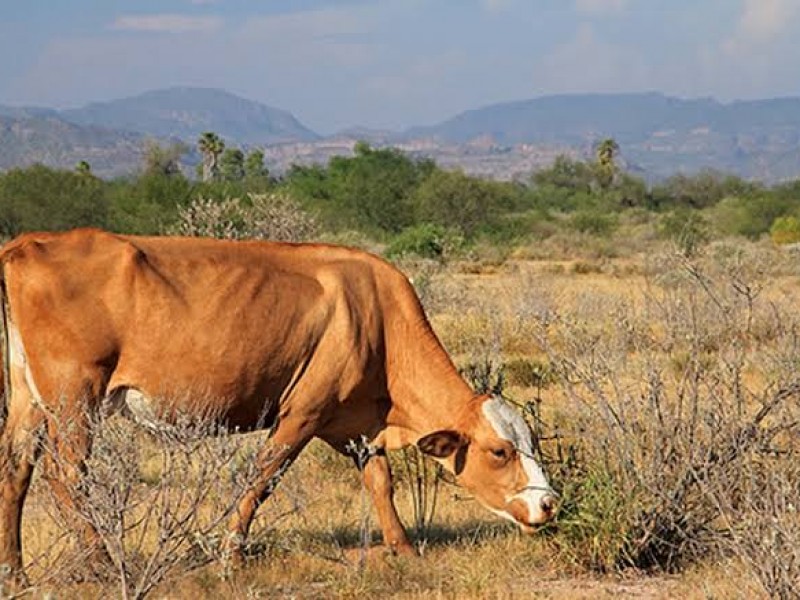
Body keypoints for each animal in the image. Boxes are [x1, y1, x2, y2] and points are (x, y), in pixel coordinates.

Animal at [0, 227, 560, 584]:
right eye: (500, 452)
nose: (549, 503)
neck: (378, 316)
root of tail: (28, 243)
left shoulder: (354, 425)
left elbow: (381, 482)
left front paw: (402, 548)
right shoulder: (303, 413)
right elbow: (261, 478)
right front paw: (230, 555)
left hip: (29, 396)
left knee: (16, 468)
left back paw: (15, 570)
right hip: (74, 396)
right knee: (65, 474)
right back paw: (101, 563)